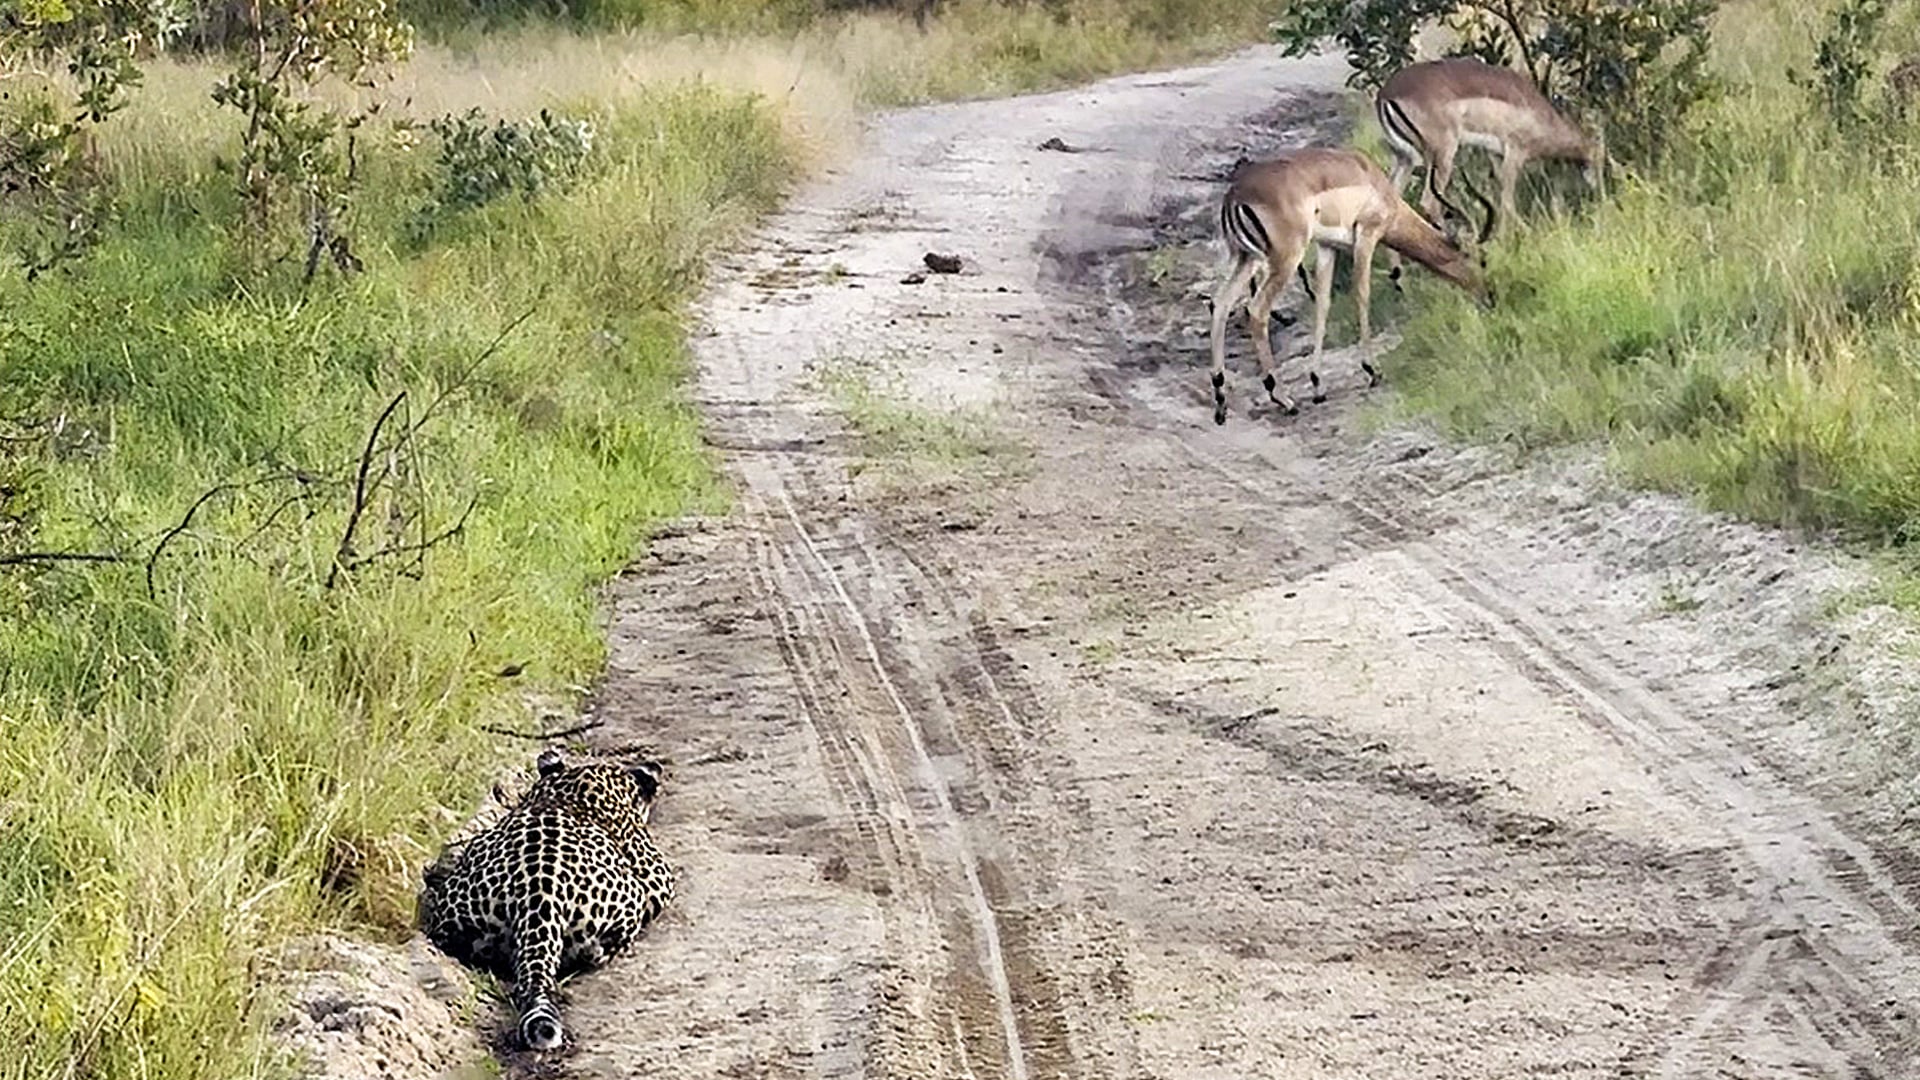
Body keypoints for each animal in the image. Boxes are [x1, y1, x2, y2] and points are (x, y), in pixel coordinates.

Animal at [1208, 147, 1490, 425]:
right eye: (1481, 260)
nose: (1489, 296)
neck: (1374, 182)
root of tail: (1235, 195)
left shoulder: (1328, 247)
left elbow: (1323, 305)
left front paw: (1318, 384)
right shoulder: (1367, 236)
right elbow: (1362, 293)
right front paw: (1373, 370)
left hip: (1246, 258)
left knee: (1220, 305)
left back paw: (1220, 399)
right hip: (1284, 260)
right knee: (1256, 311)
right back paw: (1283, 399)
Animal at [1375, 57, 1604, 271]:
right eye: (1600, 158)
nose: (1600, 193)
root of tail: (1386, 95)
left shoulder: (1495, 155)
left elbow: (1501, 197)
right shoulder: (1514, 154)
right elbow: (1507, 202)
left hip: (1404, 159)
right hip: (1442, 156)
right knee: (1429, 203)